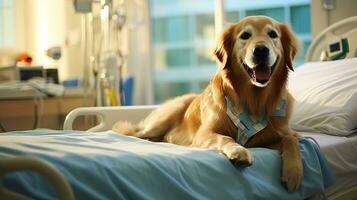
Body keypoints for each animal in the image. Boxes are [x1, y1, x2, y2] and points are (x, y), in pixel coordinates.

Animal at [112, 15, 302, 191]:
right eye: (245, 35)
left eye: (273, 34)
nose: (261, 50)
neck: (253, 100)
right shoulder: (204, 134)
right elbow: (225, 137)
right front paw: (239, 151)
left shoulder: (274, 136)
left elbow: (291, 139)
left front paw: (293, 172)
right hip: (163, 118)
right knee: (132, 133)